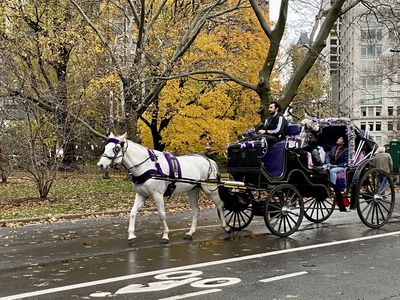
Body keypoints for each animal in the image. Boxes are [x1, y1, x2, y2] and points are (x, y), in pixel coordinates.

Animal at [97, 132, 230, 243]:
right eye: (105, 147)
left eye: (116, 148)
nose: (100, 165)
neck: (147, 166)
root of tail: (209, 161)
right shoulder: (141, 194)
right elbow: (132, 212)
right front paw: (131, 235)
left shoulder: (157, 195)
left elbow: (161, 214)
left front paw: (165, 235)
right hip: (192, 190)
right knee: (196, 211)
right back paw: (190, 233)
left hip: (210, 190)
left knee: (220, 205)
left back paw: (226, 227)